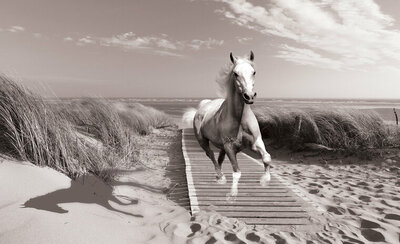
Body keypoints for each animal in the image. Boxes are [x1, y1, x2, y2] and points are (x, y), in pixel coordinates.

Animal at [184, 51, 272, 200]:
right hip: (203, 141)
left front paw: (265, 179)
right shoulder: (229, 146)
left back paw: (219, 177)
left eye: (254, 72)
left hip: (222, 146)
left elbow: (266, 157)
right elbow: (237, 171)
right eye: (235, 73)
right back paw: (220, 177)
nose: (249, 96)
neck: (240, 119)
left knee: (219, 158)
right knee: (211, 155)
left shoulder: (256, 142)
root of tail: (202, 107)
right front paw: (232, 195)